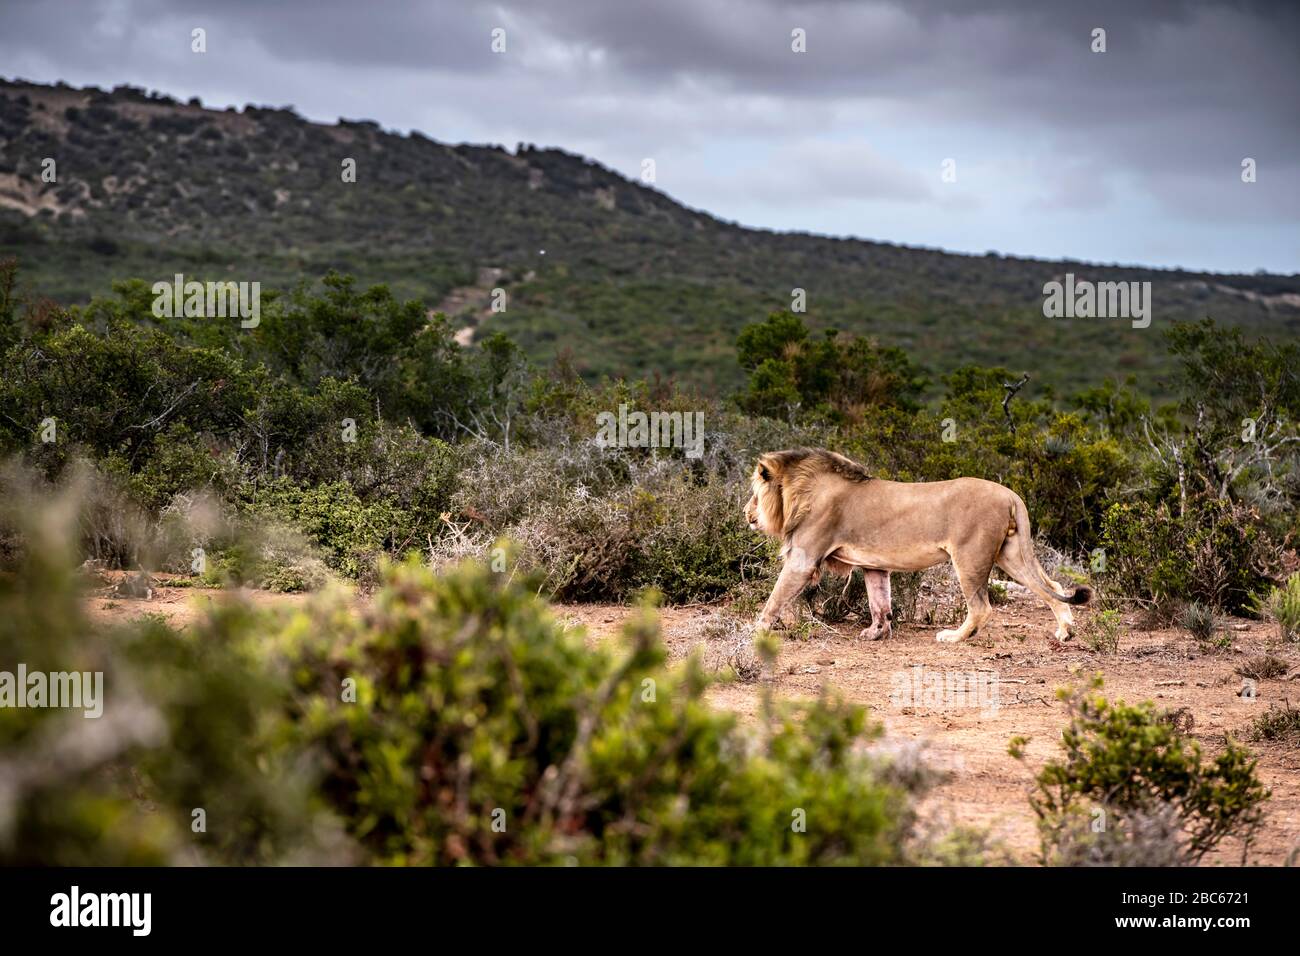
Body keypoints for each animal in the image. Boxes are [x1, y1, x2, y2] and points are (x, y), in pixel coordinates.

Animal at [743, 447, 1086, 642]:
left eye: (755, 494)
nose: (746, 514)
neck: (800, 493)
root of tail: (1011, 493)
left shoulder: (803, 558)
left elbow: (774, 598)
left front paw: (755, 630)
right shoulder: (873, 565)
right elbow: (879, 601)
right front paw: (876, 633)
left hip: (970, 556)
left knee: (981, 607)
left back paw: (954, 637)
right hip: (1010, 554)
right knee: (1052, 585)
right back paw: (1066, 631)